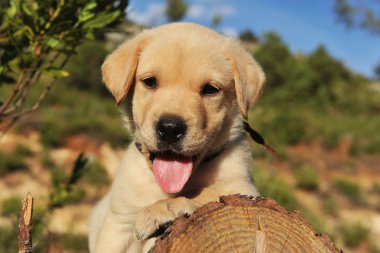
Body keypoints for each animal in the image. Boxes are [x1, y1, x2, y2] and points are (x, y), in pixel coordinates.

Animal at [89, 22, 266, 252]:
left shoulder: (244, 187)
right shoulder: (117, 224)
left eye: (210, 89)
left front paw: (161, 209)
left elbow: (210, 194)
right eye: (150, 82)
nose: (170, 128)